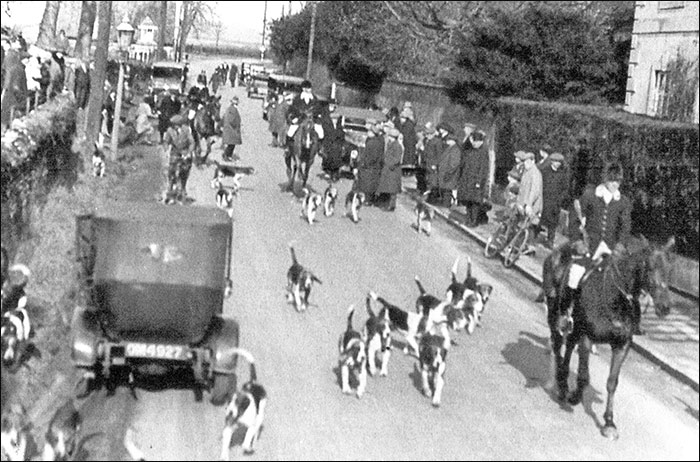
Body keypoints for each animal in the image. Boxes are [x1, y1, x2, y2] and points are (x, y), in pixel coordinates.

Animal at [540, 236, 672, 438]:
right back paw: (562, 384)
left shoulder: (622, 345)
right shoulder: (587, 337)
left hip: (574, 327)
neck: (615, 298)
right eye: (649, 266)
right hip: (555, 314)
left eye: (669, 269)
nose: (665, 307)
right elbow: (584, 375)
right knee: (557, 344)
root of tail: (556, 251)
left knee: (568, 346)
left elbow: (612, 382)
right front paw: (576, 396)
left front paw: (609, 422)